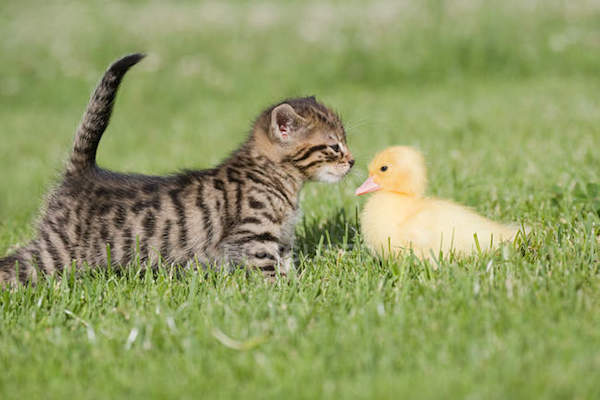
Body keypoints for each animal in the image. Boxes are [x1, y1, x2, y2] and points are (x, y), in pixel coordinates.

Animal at [0, 54, 354, 284]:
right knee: (13, 265)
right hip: (56, 253)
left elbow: (286, 265)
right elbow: (270, 274)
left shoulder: (281, 240)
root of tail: (82, 172)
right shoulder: (253, 239)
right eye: (334, 146)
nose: (352, 161)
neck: (278, 178)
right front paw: (288, 293)